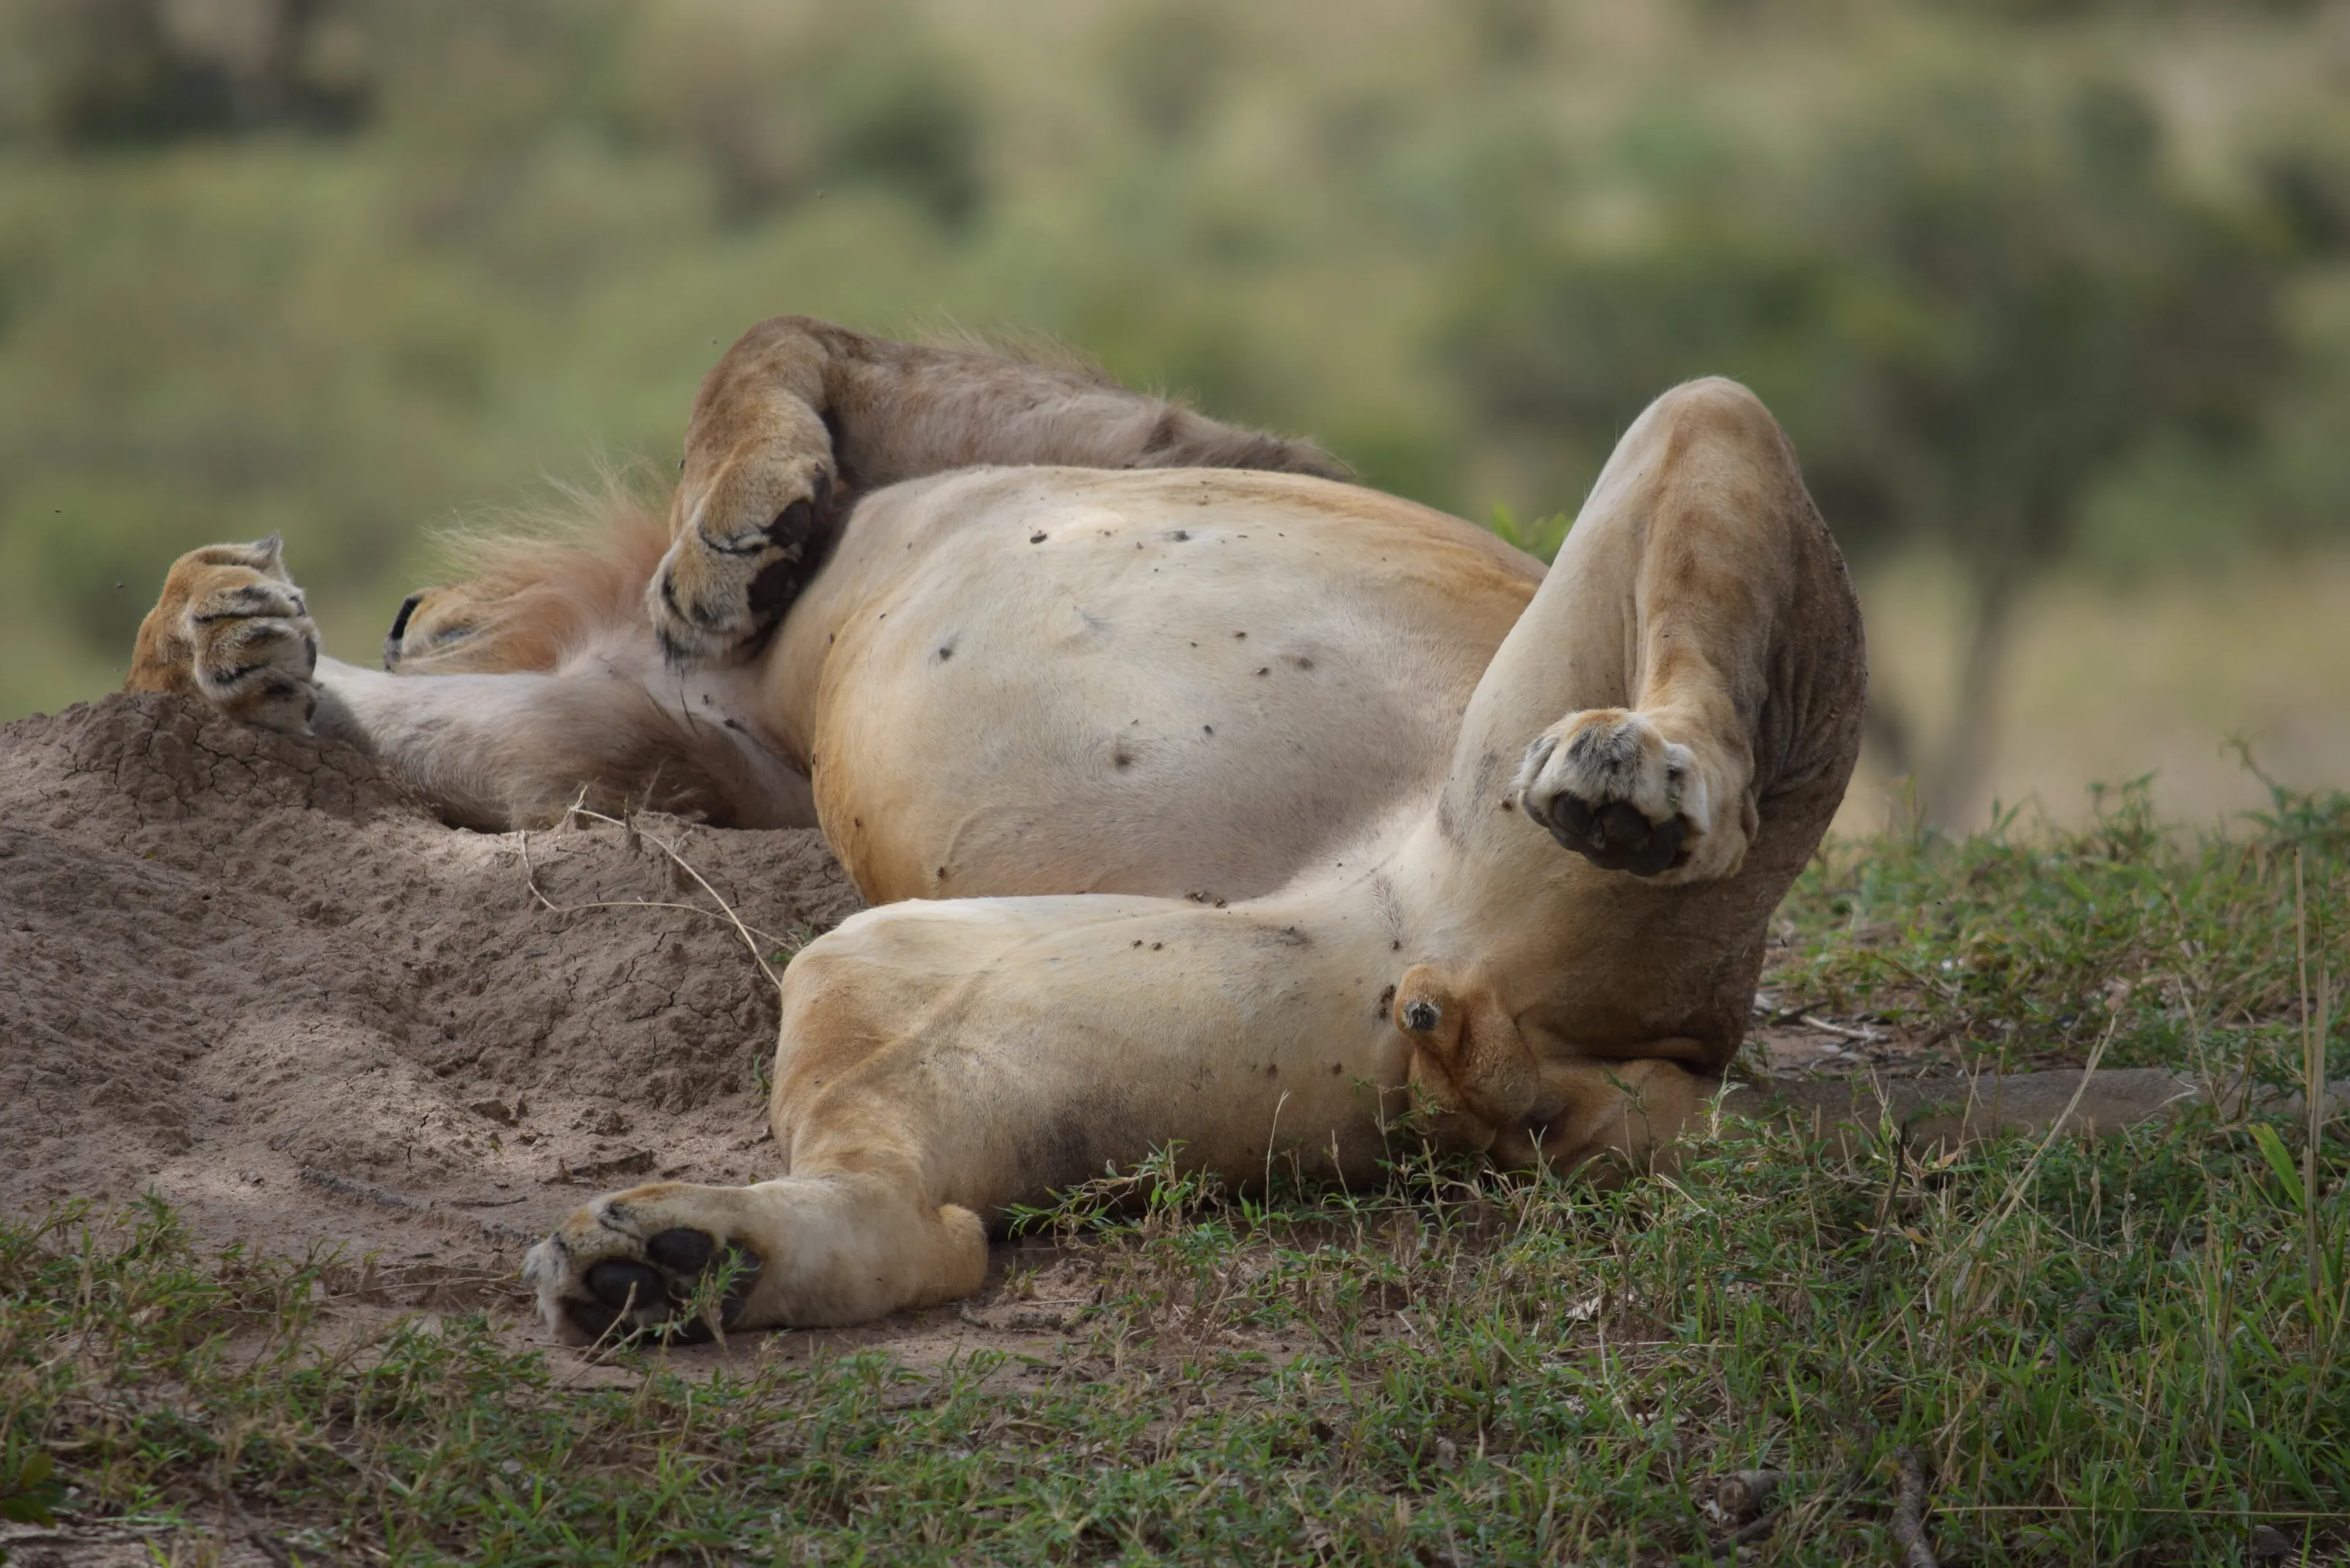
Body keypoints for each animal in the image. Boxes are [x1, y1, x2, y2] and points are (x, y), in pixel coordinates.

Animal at [130, 316, 1866, 1337]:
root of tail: (1617, 1056)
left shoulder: (1137, 431)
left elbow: (767, 338)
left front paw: (735, 531)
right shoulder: (674, 748)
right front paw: (219, 632)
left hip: (1704, 469)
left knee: (1704, 683)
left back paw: (1636, 778)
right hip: (980, 979)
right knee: (932, 1233)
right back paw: (668, 1262)